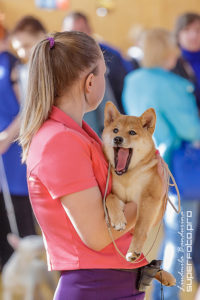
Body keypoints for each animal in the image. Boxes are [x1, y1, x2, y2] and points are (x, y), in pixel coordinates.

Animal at [102, 102, 176, 286]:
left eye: (132, 132)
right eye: (115, 130)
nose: (117, 139)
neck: (128, 176)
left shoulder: (149, 199)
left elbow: (141, 228)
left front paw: (133, 251)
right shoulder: (116, 193)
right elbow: (109, 198)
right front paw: (118, 220)